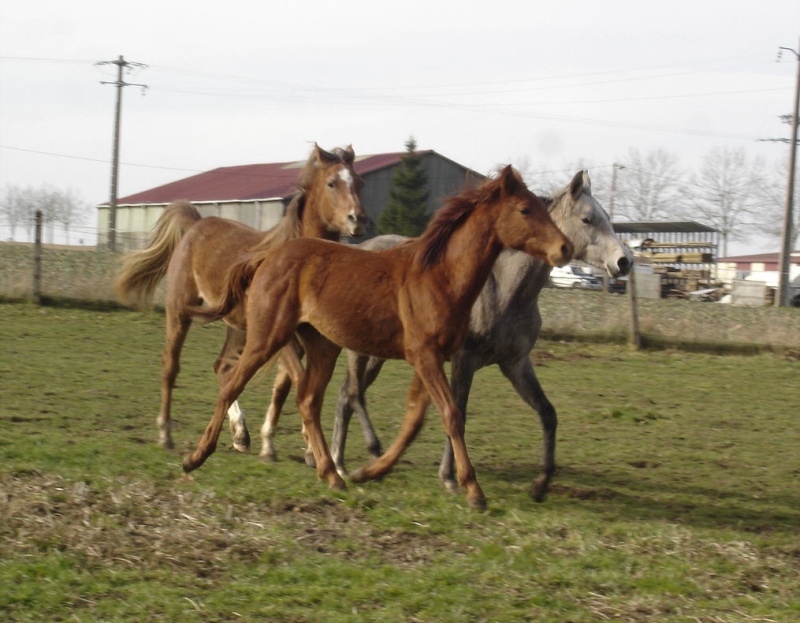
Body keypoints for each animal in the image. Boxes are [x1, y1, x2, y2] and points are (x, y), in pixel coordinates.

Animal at [114, 144, 368, 450]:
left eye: (360, 182)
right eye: (332, 183)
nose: (358, 220)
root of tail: (197, 224)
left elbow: (285, 384)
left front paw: (280, 441)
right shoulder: (283, 340)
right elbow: (297, 381)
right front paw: (304, 442)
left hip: (238, 328)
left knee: (222, 367)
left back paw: (240, 434)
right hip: (180, 311)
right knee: (170, 365)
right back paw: (165, 433)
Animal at [184, 167, 572, 512]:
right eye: (524, 210)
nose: (565, 248)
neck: (440, 277)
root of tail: (269, 256)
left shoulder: (430, 358)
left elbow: (415, 420)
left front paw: (368, 471)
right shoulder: (426, 356)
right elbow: (451, 415)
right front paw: (474, 492)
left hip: (323, 346)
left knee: (308, 401)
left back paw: (332, 474)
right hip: (267, 337)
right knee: (231, 384)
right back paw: (197, 456)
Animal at [256, 171, 632, 502]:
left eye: (606, 217)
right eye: (587, 219)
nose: (624, 261)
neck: (505, 290)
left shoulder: (515, 363)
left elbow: (547, 412)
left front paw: (540, 484)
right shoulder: (464, 360)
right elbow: (457, 412)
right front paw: (451, 478)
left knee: (345, 395)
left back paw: (340, 461)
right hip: (361, 350)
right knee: (350, 394)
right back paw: (351, 457)